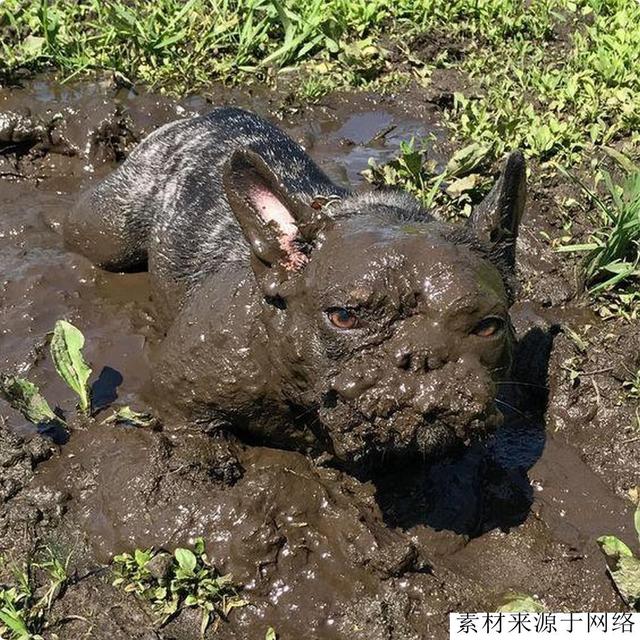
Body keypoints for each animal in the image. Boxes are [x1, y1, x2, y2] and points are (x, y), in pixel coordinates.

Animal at [63, 107, 524, 468]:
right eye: (343, 317)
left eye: (489, 326)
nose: (422, 359)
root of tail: (202, 117)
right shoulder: (179, 393)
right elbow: (191, 427)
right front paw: (204, 462)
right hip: (110, 226)